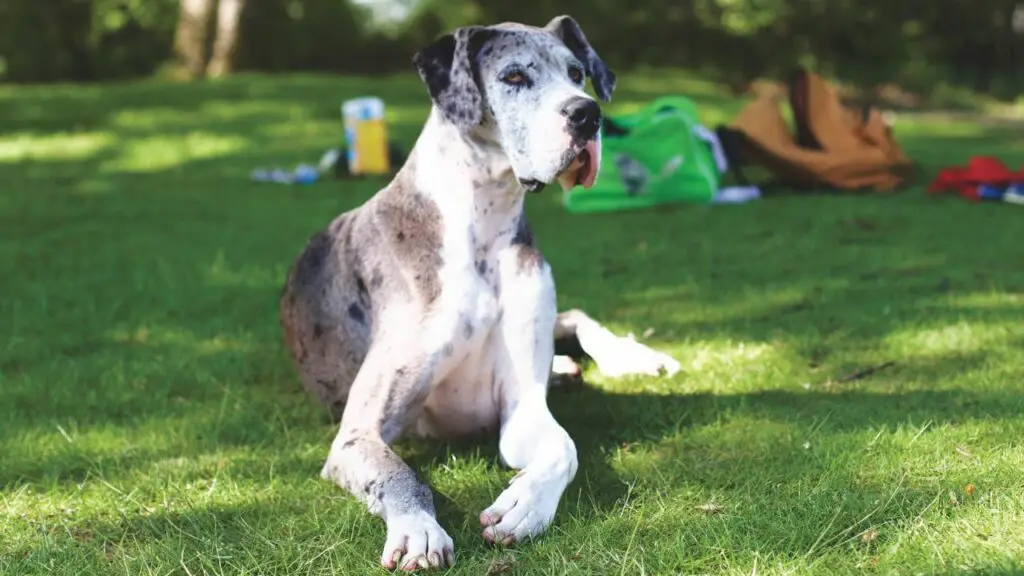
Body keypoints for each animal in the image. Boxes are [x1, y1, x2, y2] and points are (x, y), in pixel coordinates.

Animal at [278, 16, 679, 569]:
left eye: (577, 73)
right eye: (513, 77)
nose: (587, 113)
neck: (482, 222)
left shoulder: (522, 408)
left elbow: (564, 448)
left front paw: (526, 505)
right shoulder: (358, 435)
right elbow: (401, 475)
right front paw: (417, 529)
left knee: (575, 316)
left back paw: (629, 357)